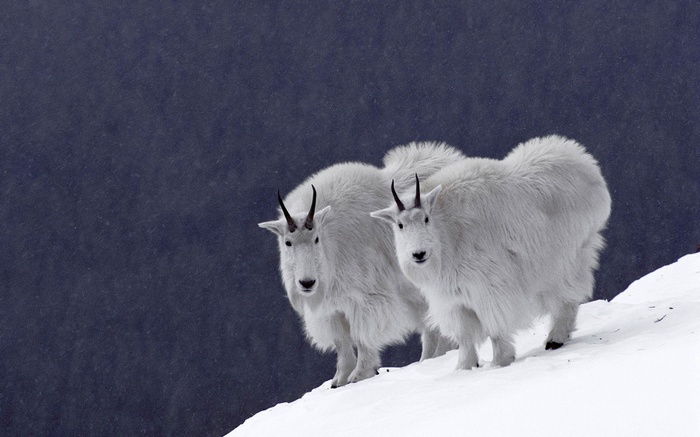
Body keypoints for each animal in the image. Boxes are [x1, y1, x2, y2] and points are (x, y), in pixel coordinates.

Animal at [259, 142, 463, 386]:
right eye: (288, 242)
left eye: (316, 238)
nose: (307, 283)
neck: (332, 246)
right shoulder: (331, 308)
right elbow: (341, 341)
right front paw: (339, 380)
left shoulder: (365, 298)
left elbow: (362, 334)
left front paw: (360, 374)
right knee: (429, 324)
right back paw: (428, 359)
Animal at [371, 135, 611, 370]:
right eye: (400, 225)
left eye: (426, 219)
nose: (418, 254)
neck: (447, 233)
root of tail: (585, 163)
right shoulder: (454, 300)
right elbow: (465, 337)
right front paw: (464, 368)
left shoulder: (489, 289)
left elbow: (496, 327)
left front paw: (501, 361)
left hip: (568, 257)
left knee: (568, 296)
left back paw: (555, 339)